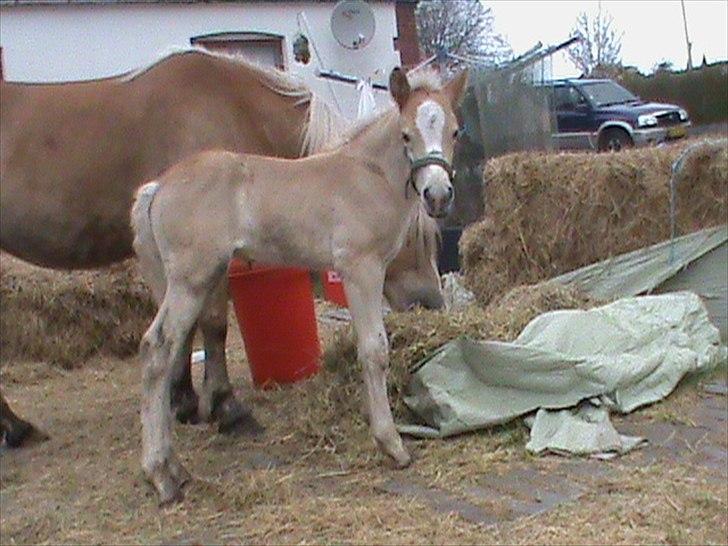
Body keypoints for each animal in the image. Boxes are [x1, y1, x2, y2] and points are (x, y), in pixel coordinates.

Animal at [0, 49, 444, 444]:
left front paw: (182, 400)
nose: (432, 302)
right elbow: (212, 323)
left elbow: (188, 332)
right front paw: (224, 407)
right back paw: (14, 428)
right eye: (415, 231)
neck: (230, 107)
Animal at [134, 65, 470, 502]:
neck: (368, 175)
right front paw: (391, 444)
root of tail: (158, 186)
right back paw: (161, 474)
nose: (438, 195)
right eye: (405, 134)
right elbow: (374, 349)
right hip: (190, 280)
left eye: (455, 131)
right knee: (156, 350)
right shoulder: (361, 268)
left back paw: (174, 467)